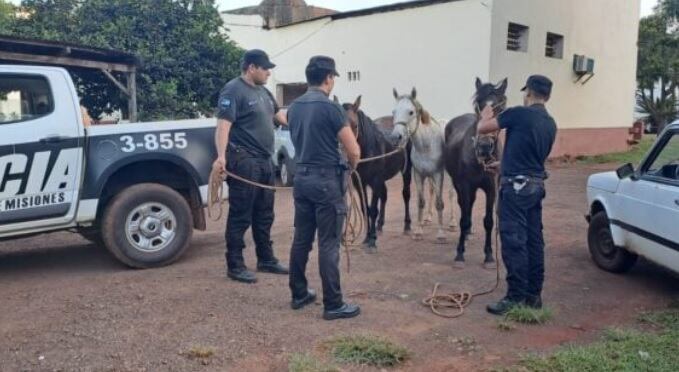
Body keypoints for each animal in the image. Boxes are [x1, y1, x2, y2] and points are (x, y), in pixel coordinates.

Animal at [390, 87, 448, 241]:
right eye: (393, 112)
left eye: (411, 112)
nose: (395, 137)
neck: (427, 145)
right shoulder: (419, 175)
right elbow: (420, 202)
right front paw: (418, 231)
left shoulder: (438, 174)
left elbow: (440, 203)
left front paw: (441, 234)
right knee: (431, 190)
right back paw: (428, 218)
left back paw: (452, 223)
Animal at [444, 77, 508, 268]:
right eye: (477, 105)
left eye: (500, 108)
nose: (485, 147)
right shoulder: (465, 185)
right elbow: (464, 218)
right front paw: (459, 254)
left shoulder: (491, 189)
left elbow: (488, 221)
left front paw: (489, 256)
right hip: (458, 184)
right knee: (464, 207)